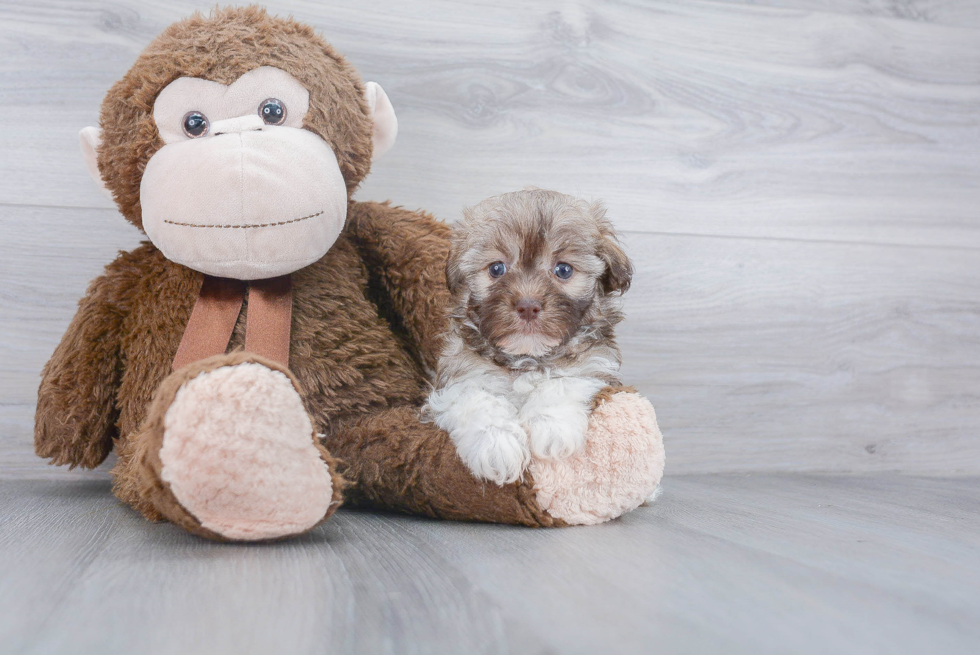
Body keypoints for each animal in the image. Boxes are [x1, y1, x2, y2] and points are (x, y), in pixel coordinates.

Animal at [428, 187, 636, 484]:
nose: (528, 305)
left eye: (563, 270)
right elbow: (474, 396)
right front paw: (496, 442)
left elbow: (564, 380)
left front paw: (552, 427)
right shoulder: (458, 374)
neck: (527, 357)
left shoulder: (594, 363)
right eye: (496, 269)